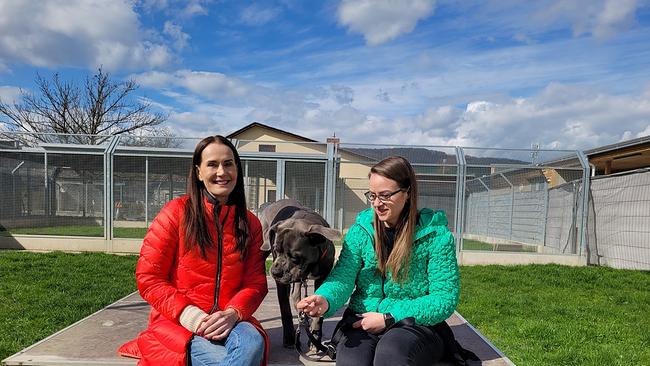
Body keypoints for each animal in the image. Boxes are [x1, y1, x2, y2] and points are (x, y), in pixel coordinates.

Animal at [258, 199, 340, 348]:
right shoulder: (282, 283)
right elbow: (285, 309)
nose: (275, 272)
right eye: (275, 250)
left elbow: (319, 310)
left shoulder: (323, 276)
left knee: (296, 295)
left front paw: (315, 336)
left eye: (295, 257)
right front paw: (289, 337)